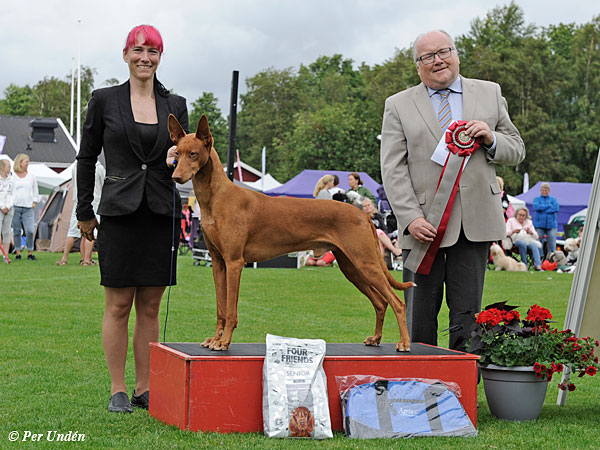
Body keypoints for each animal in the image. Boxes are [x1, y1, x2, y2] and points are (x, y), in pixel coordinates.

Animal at [166, 113, 414, 352]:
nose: (175, 177)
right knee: (380, 302)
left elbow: (230, 310)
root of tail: (364, 215)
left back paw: (404, 343)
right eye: (177, 153)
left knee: (397, 302)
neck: (217, 198)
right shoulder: (218, 263)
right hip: (351, 267)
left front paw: (224, 341)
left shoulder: (234, 262)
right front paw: (215, 338)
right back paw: (376, 338)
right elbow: (220, 308)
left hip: (366, 262)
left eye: (194, 154)